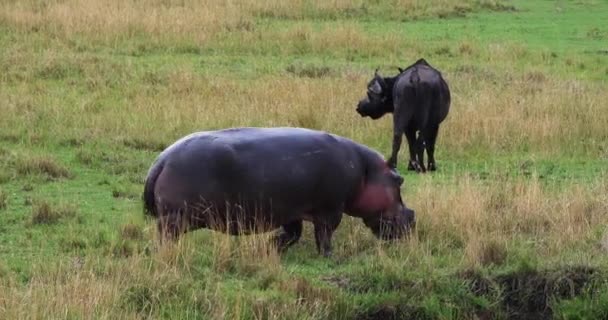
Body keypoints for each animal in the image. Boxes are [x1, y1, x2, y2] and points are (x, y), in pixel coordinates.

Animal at [145, 126, 416, 256]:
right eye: (399, 180)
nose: (413, 220)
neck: (366, 172)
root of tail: (162, 159)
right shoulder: (330, 210)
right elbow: (324, 235)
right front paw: (329, 255)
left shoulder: (291, 211)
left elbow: (293, 234)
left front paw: (270, 246)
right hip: (174, 218)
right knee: (165, 236)